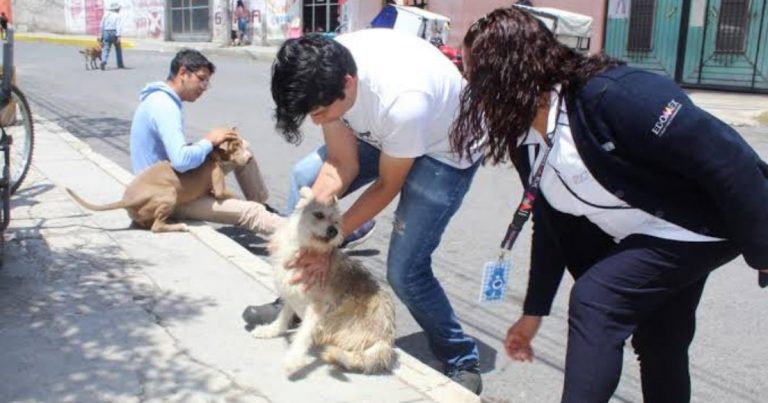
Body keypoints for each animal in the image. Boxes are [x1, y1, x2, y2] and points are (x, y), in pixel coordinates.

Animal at [66, 137, 252, 232]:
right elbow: (232, 194)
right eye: (236, 146)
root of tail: (127, 200)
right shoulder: (219, 185)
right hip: (169, 193)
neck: (213, 154)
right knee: (156, 227)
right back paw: (179, 225)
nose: (250, 158)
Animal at [251, 187, 396, 376]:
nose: (333, 231)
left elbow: (304, 333)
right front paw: (272, 330)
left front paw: (293, 358)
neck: (307, 249)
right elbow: (284, 315)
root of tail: (386, 339)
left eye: (336, 221)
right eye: (318, 214)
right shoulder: (292, 292)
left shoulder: (318, 306)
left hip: (338, 316)